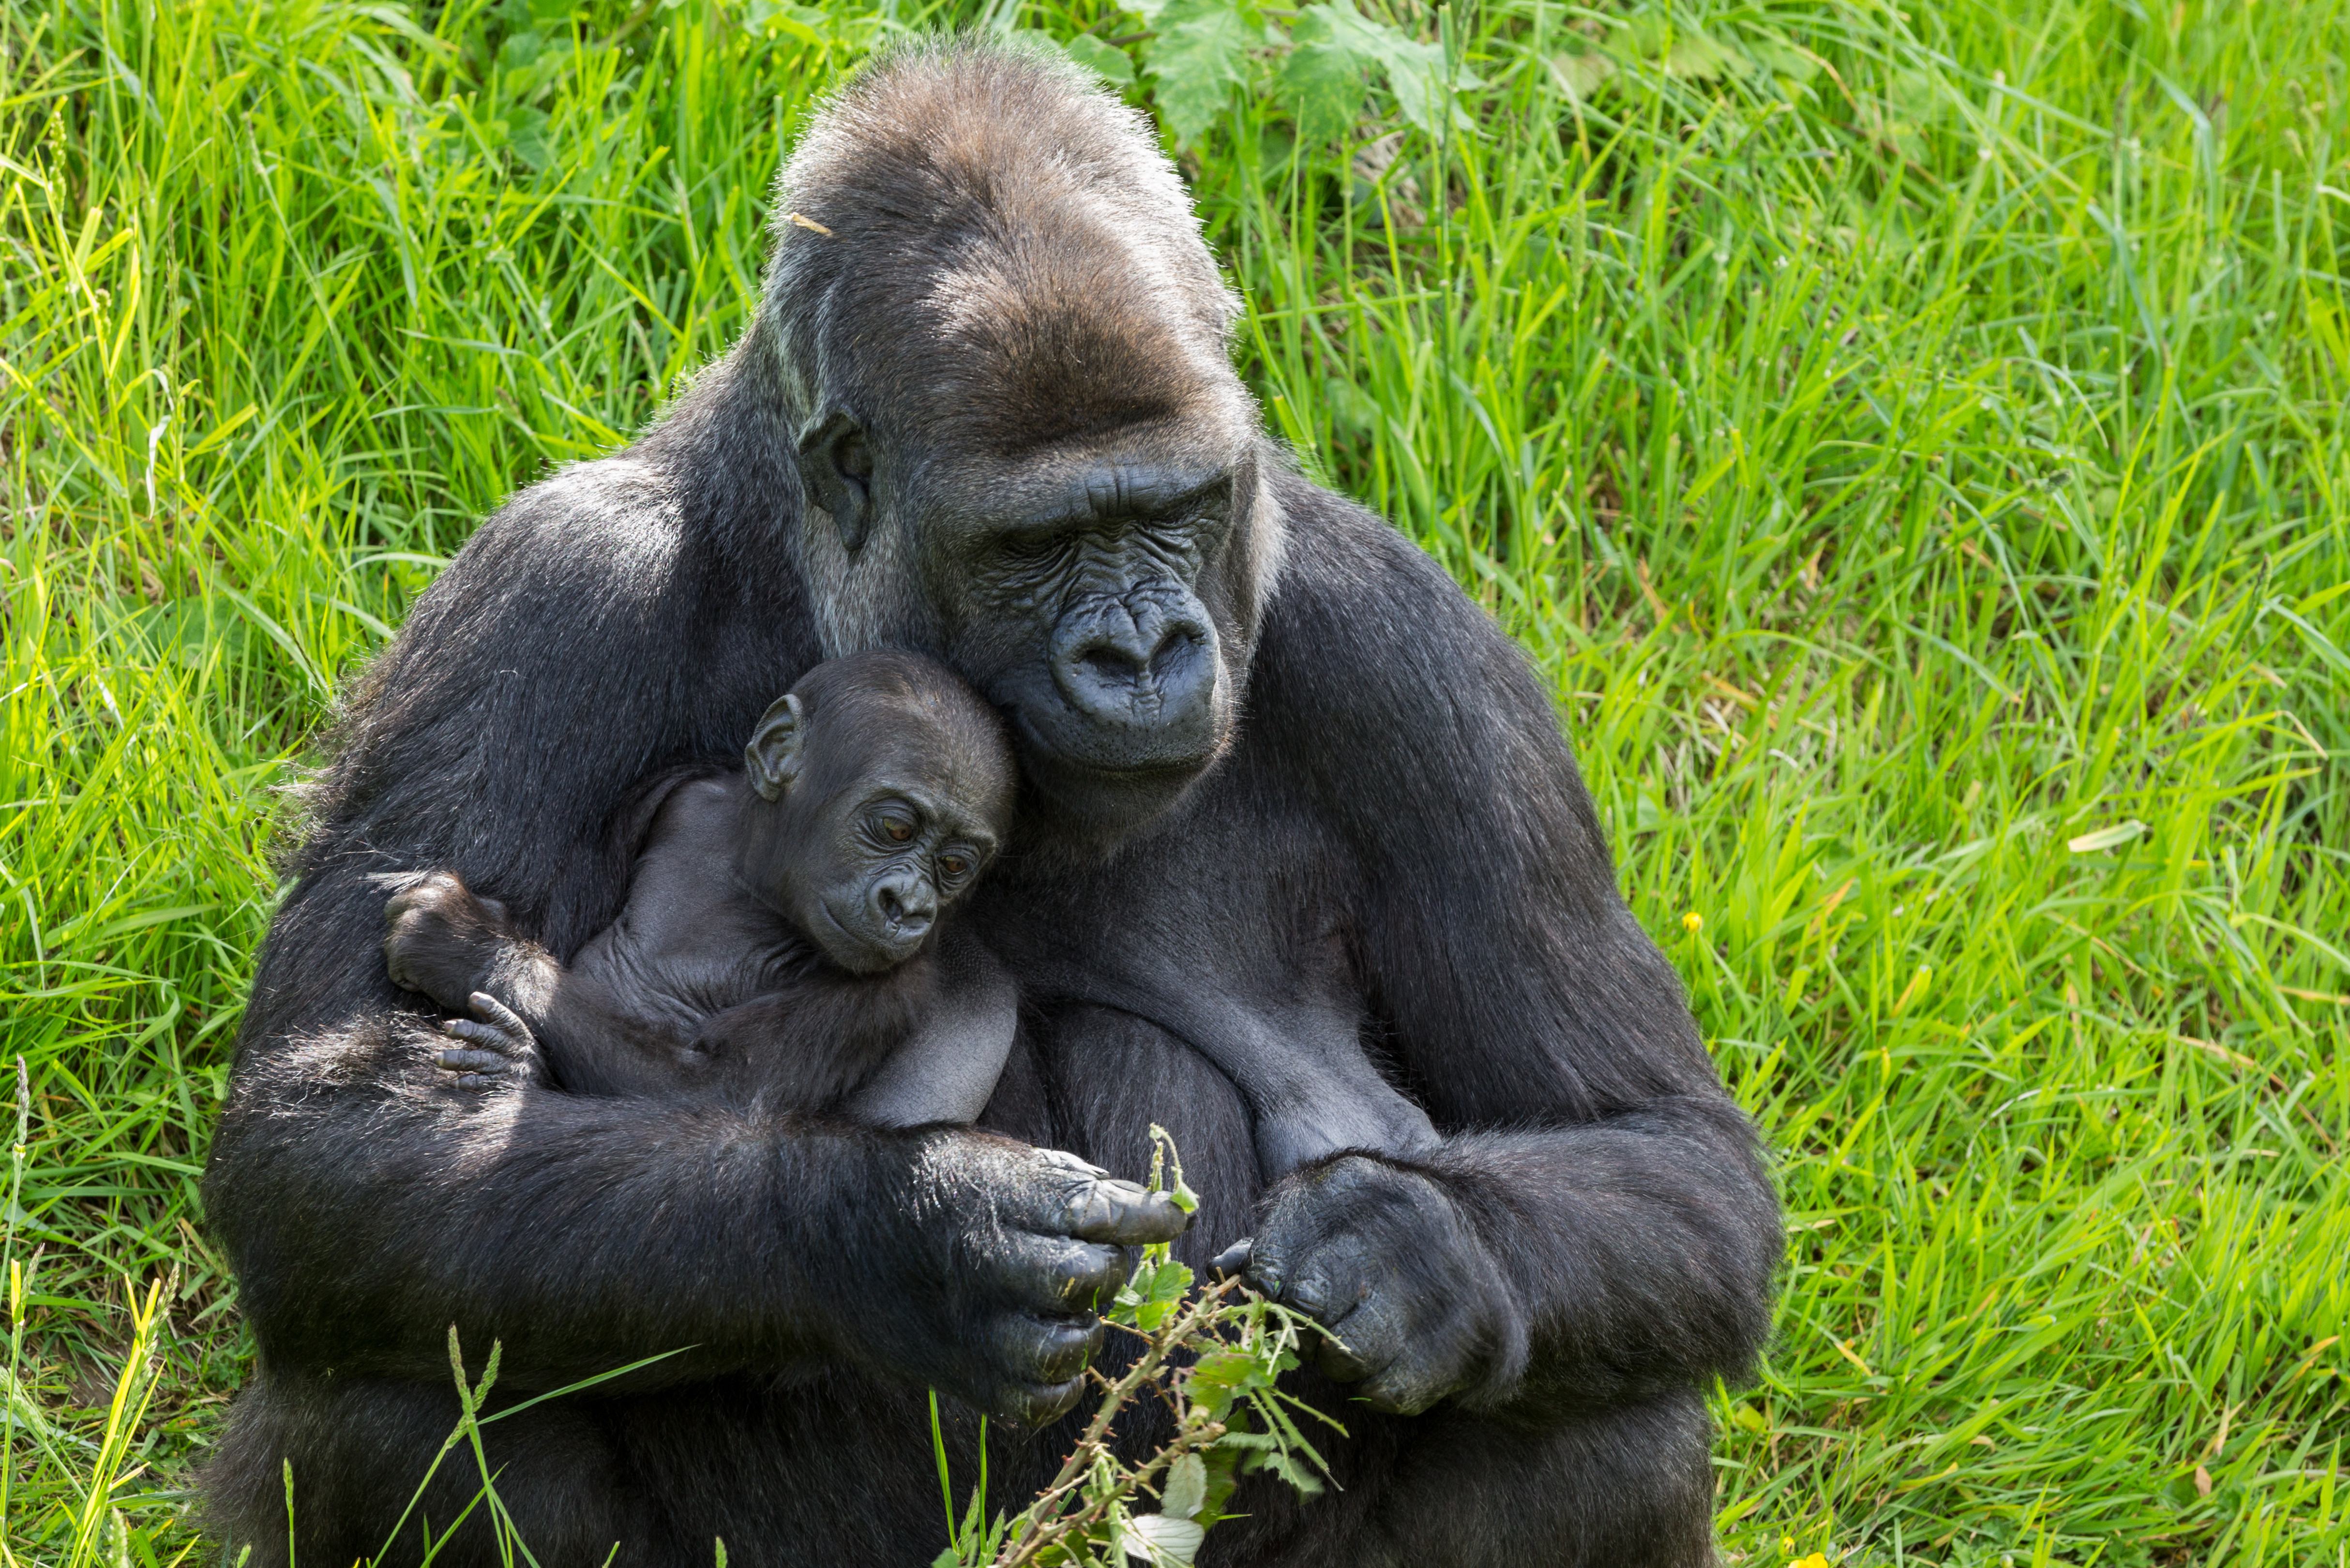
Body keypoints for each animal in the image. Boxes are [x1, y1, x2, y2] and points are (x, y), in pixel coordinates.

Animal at [204, 37, 1778, 1568]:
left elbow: (1670, 1149)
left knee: (1604, 1423)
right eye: (1037, 543)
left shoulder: (1415, 656)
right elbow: (335, 1144)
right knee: (398, 1376)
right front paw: (913, 1243)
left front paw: (1409, 1252)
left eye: (1174, 510)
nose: (1140, 653)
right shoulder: (549, 597)